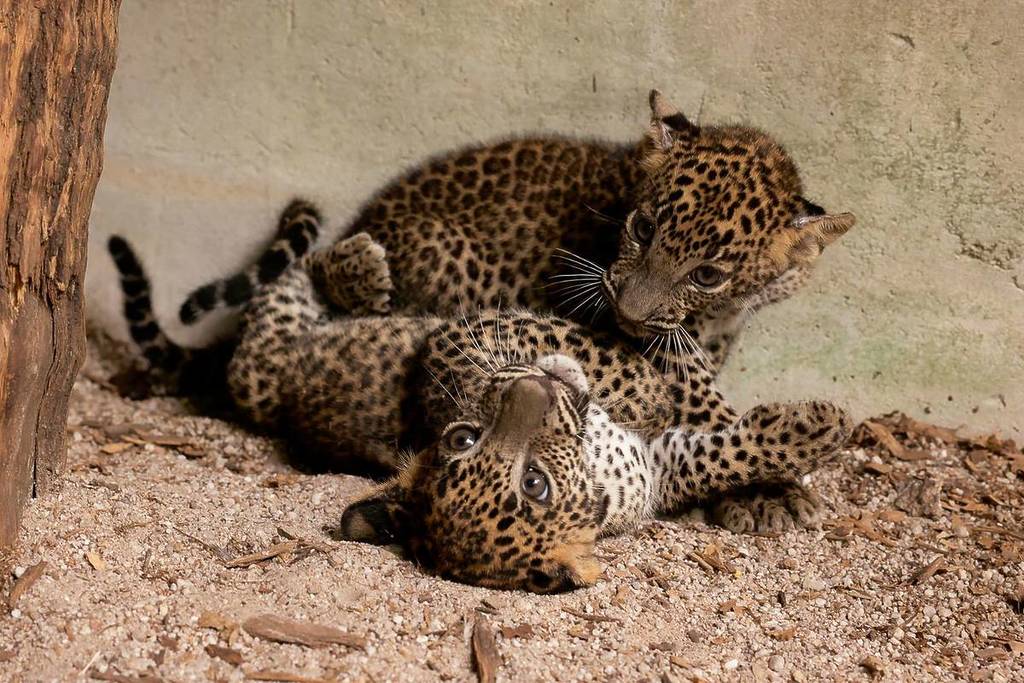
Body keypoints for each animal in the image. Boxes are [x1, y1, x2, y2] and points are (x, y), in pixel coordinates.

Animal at [108, 208, 854, 593]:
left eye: (464, 441)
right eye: (533, 485)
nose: (531, 389)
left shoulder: (658, 463)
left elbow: (714, 447)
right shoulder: (465, 337)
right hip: (266, 351)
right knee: (290, 274)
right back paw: (346, 257)